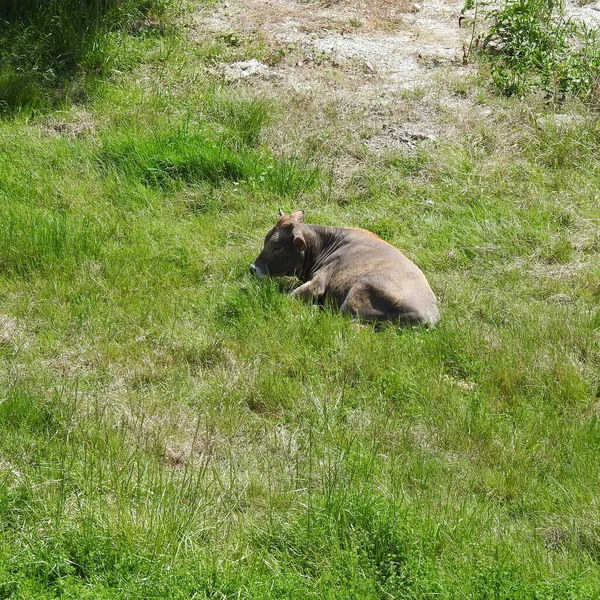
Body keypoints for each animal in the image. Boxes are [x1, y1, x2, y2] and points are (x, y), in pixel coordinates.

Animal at [250, 209, 440, 326]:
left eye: (276, 247)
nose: (253, 269)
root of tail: (429, 315)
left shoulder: (319, 282)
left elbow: (290, 296)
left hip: (358, 291)